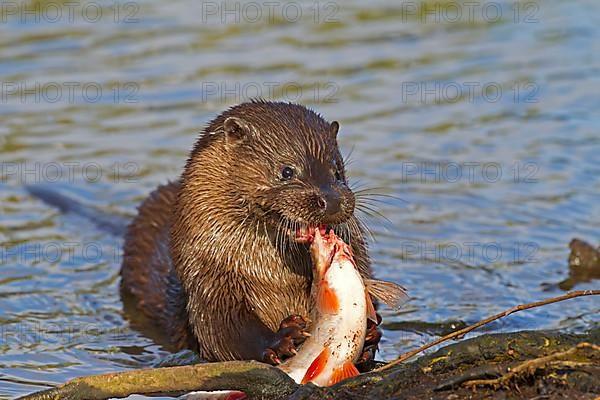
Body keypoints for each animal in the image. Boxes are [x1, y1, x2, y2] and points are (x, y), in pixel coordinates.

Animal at [120, 101, 380, 366]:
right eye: (287, 171)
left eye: (337, 171)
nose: (332, 200)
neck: (273, 278)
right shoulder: (208, 282)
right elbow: (224, 332)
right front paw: (282, 338)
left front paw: (370, 335)